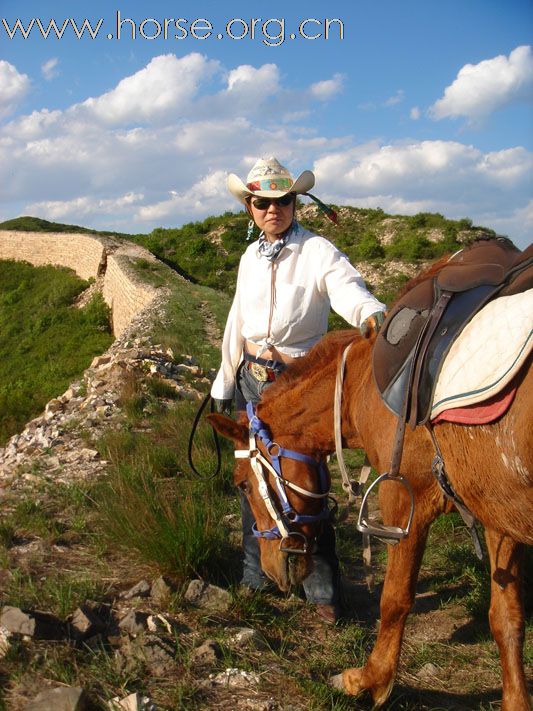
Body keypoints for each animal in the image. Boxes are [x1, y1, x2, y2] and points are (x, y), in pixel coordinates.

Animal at [210, 268, 528, 711]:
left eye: (242, 482)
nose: (272, 572)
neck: (364, 384)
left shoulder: (404, 501)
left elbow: (395, 598)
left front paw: (367, 680)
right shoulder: (498, 513)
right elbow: (506, 617)